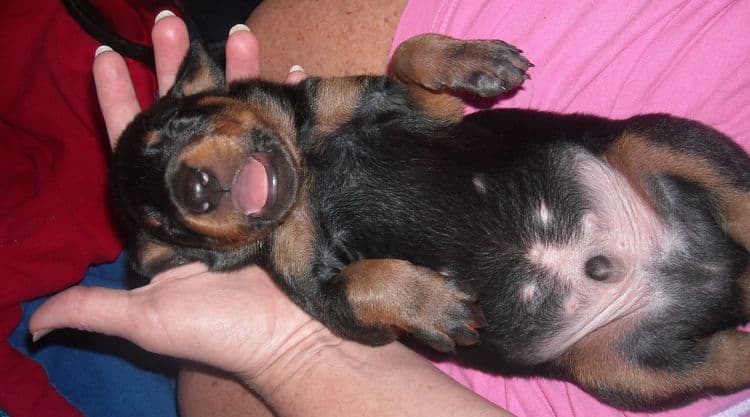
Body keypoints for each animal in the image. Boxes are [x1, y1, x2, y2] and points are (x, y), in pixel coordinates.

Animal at [111, 33, 750, 410]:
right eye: (164, 225)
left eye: (179, 122)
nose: (192, 190)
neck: (308, 174)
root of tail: (724, 278)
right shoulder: (324, 298)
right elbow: (362, 284)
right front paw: (432, 305)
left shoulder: (417, 109)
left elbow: (408, 55)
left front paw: (475, 62)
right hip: (626, 372)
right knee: (723, 361)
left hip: (657, 142)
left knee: (731, 190)